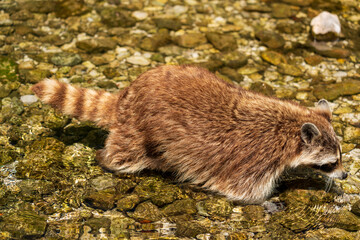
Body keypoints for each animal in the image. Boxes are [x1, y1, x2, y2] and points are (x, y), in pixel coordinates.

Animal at [30, 65, 346, 202]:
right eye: (330, 162)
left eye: (341, 157)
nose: (344, 175)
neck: (290, 129)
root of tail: (127, 94)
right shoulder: (256, 159)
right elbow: (242, 191)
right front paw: (269, 200)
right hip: (139, 128)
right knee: (125, 154)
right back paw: (112, 159)